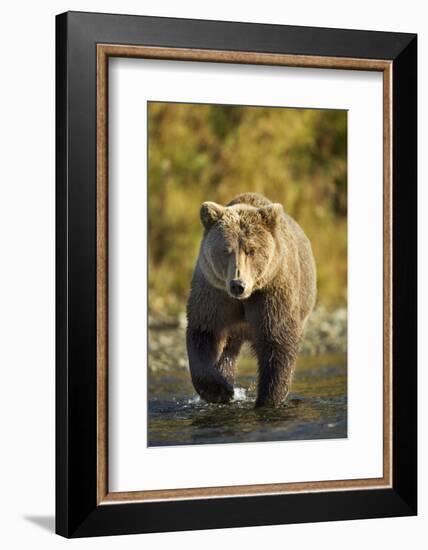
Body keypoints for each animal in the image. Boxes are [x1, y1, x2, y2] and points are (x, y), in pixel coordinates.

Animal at [186, 192, 316, 408]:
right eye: (226, 250)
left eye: (251, 250)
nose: (237, 284)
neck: (244, 299)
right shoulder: (214, 293)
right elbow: (204, 332)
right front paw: (220, 390)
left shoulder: (270, 292)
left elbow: (277, 341)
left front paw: (267, 399)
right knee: (228, 350)